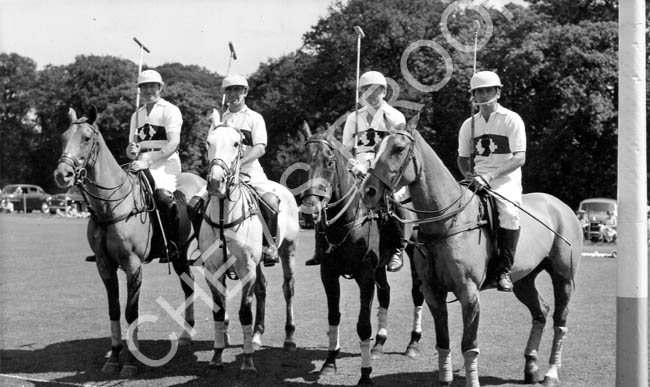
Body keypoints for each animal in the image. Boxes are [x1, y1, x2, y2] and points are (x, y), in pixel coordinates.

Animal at [54, 107, 204, 378]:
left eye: (86, 138)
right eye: (63, 138)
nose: (62, 174)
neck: (110, 206)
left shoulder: (132, 264)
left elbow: (131, 311)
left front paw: (131, 362)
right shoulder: (104, 264)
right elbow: (114, 309)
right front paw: (114, 358)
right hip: (180, 254)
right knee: (188, 284)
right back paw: (186, 335)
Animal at [197, 124, 298, 376]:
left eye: (237, 143)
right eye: (208, 142)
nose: (215, 182)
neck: (224, 216)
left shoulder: (246, 269)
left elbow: (244, 312)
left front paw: (248, 362)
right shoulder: (213, 271)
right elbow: (218, 311)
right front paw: (216, 357)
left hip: (288, 248)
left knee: (288, 288)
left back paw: (289, 338)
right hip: (259, 261)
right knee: (262, 288)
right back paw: (255, 336)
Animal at [300, 126, 426, 384]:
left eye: (329, 162)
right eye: (305, 162)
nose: (309, 210)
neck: (347, 221)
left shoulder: (365, 275)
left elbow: (363, 325)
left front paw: (365, 374)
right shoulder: (328, 274)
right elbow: (334, 316)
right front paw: (329, 363)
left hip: (413, 252)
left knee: (417, 294)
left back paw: (412, 343)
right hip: (379, 267)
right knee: (386, 293)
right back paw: (379, 344)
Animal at [360, 116, 584, 386]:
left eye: (399, 148)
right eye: (375, 147)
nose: (368, 192)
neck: (446, 220)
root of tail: (562, 205)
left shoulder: (468, 292)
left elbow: (469, 344)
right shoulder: (433, 292)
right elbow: (443, 341)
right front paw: (445, 380)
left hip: (563, 277)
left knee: (560, 320)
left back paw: (551, 372)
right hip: (524, 279)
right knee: (541, 311)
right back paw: (531, 366)